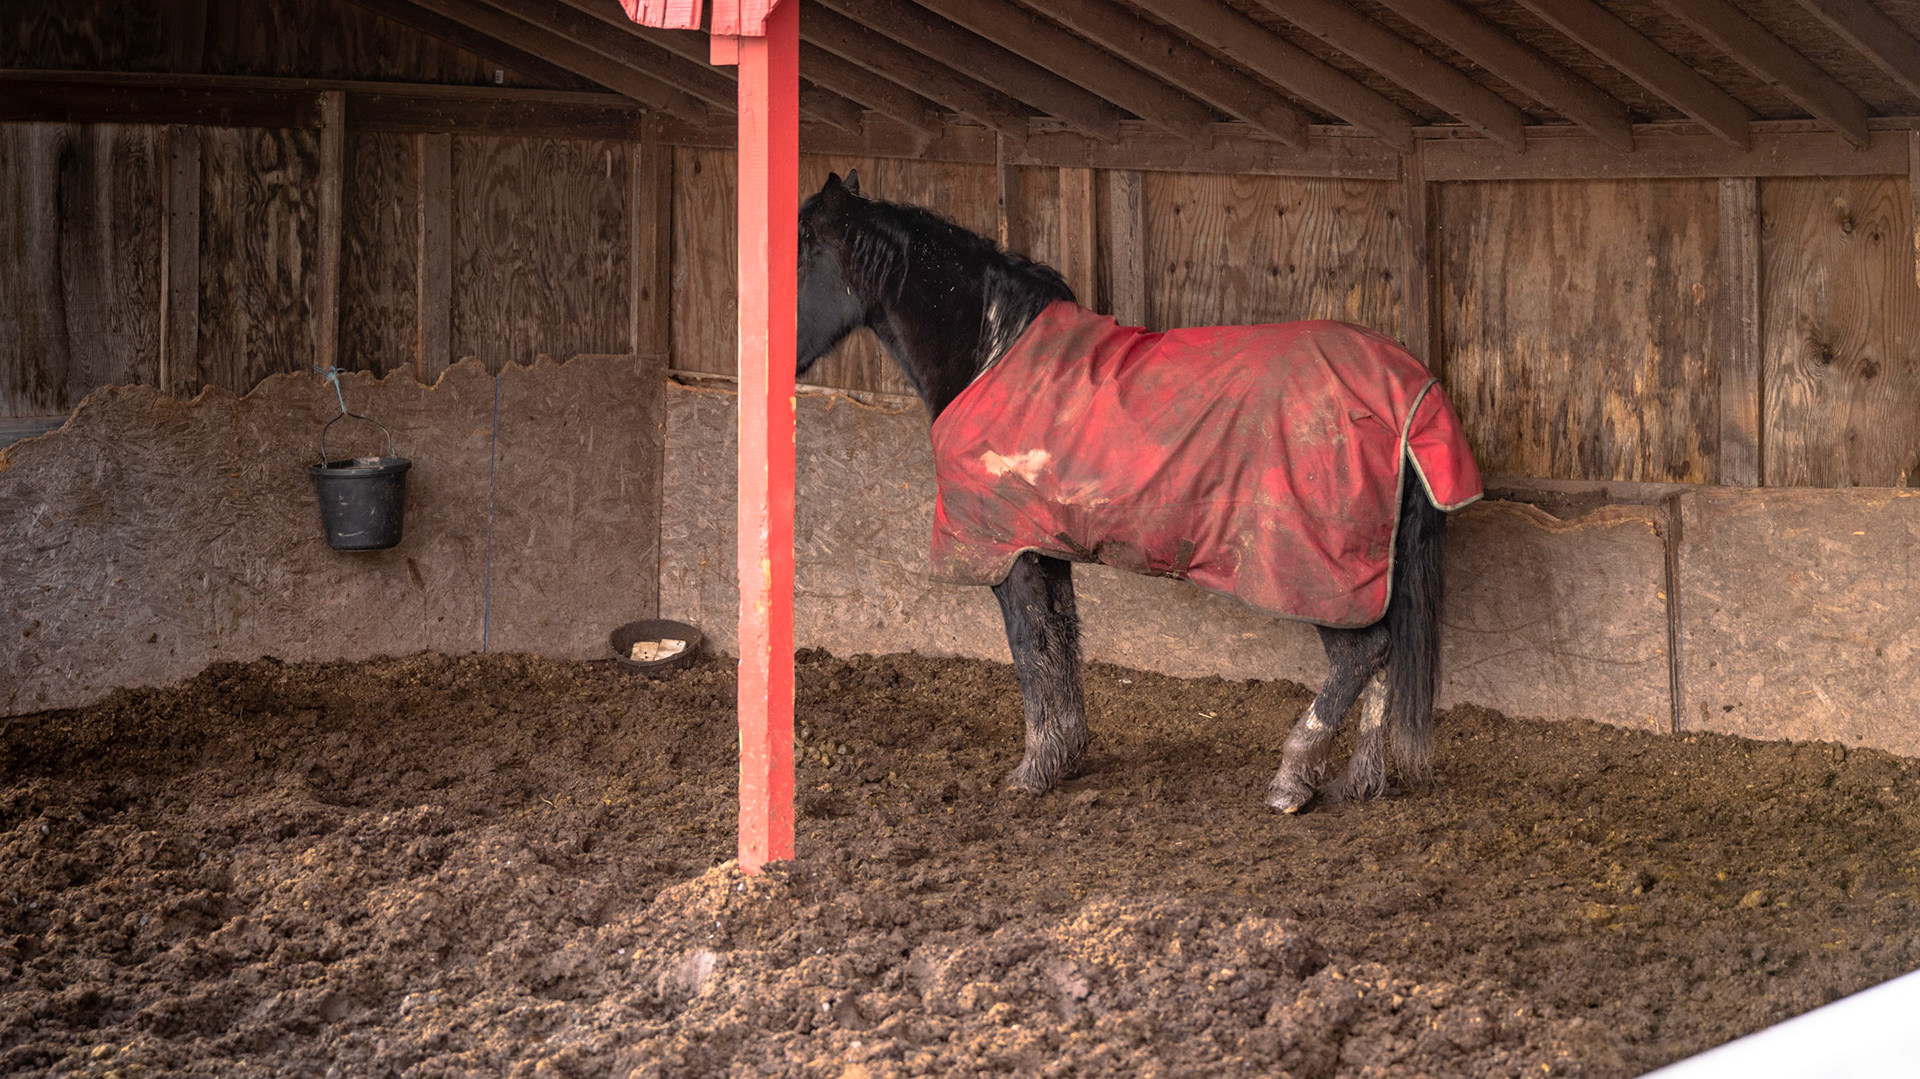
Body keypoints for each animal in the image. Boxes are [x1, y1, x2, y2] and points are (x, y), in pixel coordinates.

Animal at [795, 170, 1482, 812]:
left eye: (801, 256)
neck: (992, 354)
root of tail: (1406, 387)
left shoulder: (1006, 553)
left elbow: (1029, 649)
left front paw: (1034, 769)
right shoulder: (1044, 547)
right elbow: (1060, 643)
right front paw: (1065, 755)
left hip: (1319, 576)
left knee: (1361, 655)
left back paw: (1292, 779)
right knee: (1385, 659)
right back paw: (1359, 781)